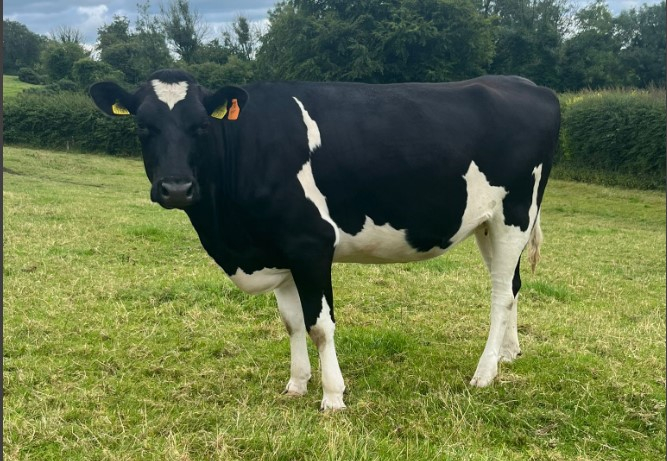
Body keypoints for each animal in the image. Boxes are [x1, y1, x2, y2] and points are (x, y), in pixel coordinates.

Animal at [88, 69, 560, 410]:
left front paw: (333, 396)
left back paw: (485, 373)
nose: (176, 188)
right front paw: (297, 384)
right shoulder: (279, 252)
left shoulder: (310, 246)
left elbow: (319, 325)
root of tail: (528, 84)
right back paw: (508, 354)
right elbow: (291, 322)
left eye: (200, 125)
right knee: (513, 285)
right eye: (143, 127)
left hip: (514, 215)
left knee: (500, 294)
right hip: (486, 223)